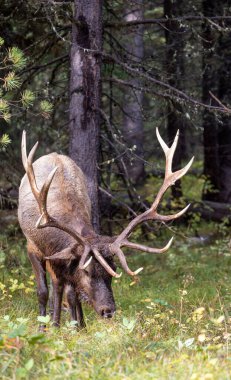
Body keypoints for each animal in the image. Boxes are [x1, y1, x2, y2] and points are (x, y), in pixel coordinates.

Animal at [17, 130, 193, 326]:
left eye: (113, 270)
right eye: (86, 271)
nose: (108, 311)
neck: (52, 240)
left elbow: (70, 294)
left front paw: (76, 326)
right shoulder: (32, 247)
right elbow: (43, 292)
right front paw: (45, 327)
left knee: (65, 290)